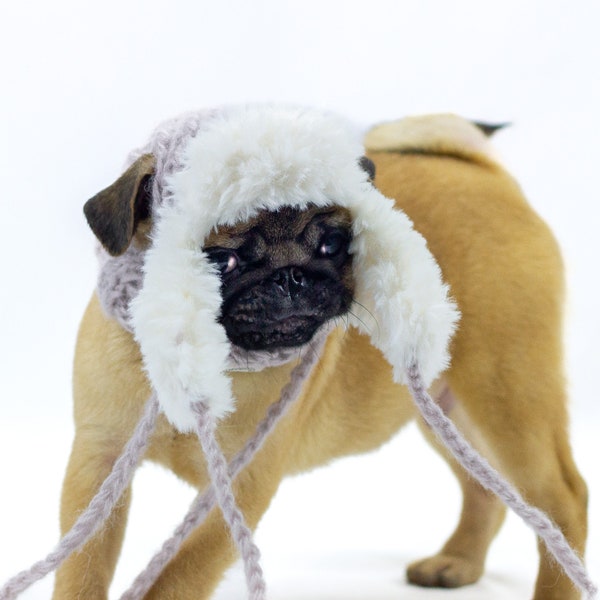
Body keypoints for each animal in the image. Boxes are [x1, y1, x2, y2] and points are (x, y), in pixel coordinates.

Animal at [54, 115, 588, 596]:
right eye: (223, 260)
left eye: (333, 244)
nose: (292, 276)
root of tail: (487, 174)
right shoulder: (99, 468)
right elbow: (83, 567)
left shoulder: (239, 486)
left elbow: (176, 580)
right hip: (449, 405)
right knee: (484, 489)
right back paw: (457, 562)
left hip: (508, 390)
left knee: (563, 497)